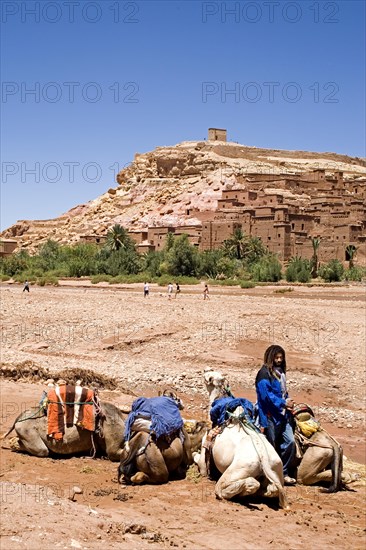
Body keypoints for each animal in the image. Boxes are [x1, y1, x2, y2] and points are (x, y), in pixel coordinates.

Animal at [193, 374, 288, 512]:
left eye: (210, 376)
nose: (204, 371)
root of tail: (263, 459)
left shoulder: (205, 449)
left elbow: (199, 461)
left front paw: (194, 454)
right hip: (276, 467)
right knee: (272, 489)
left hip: (239, 469)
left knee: (223, 489)